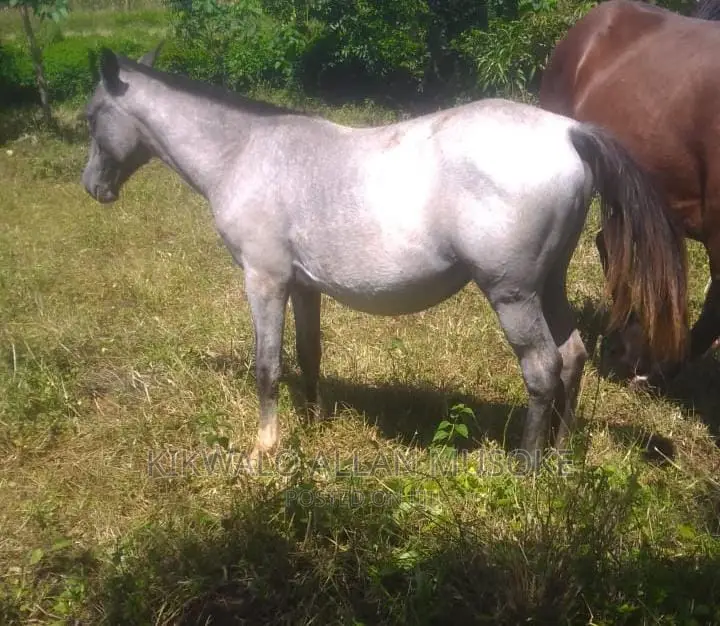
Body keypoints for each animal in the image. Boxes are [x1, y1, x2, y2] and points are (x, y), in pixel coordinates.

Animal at [80, 46, 687, 469]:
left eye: (90, 116)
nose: (92, 188)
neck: (245, 152)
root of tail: (569, 132)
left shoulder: (265, 280)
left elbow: (266, 366)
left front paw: (264, 449)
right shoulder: (303, 285)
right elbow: (309, 353)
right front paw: (314, 421)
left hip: (512, 295)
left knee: (543, 368)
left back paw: (527, 465)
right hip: (548, 286)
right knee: (574, 356)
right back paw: (560, 453)